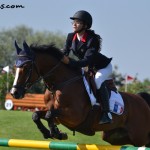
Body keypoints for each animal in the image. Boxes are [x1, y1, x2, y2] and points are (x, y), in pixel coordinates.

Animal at [10, 41, 150, 146]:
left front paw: (56, 133)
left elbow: (50, 114)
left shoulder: (74, 116)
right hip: (113, 136)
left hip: (139, 136)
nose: (14, 93)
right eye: (15, 67)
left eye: (26, 67)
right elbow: (36, 115)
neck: (60, 83)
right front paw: (52, 133)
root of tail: (141, 99)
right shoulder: (58, 115)